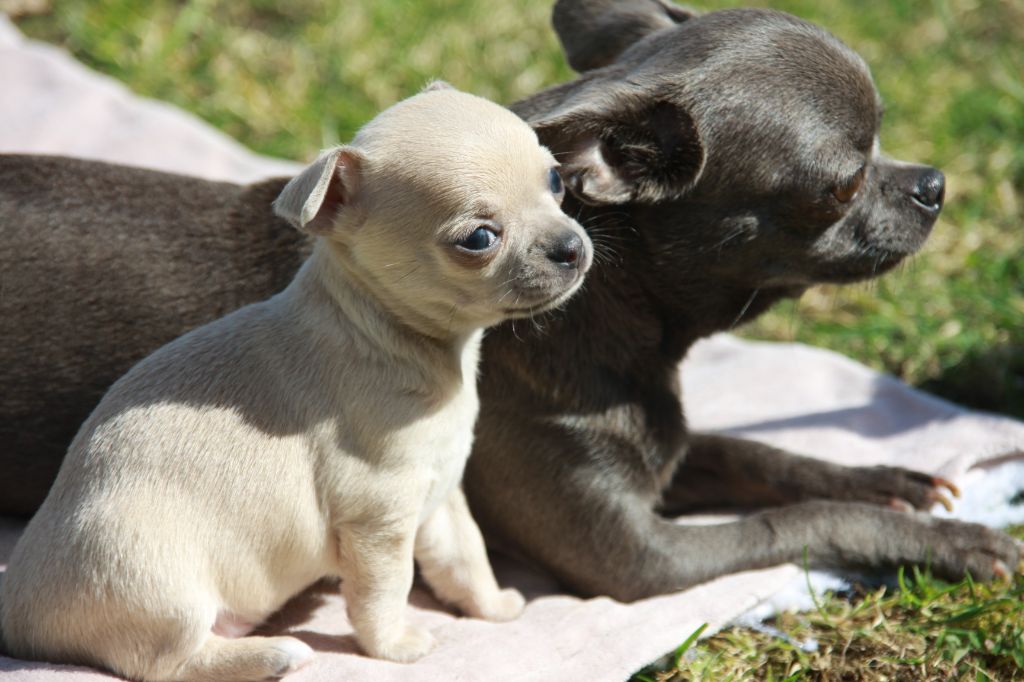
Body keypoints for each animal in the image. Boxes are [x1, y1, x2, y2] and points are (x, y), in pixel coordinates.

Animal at [0, 0, 1015, 593]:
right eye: (841, 187)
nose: (935, 185)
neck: (618, 325)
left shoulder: (661, 448)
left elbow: (764, 457)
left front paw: (887, 481)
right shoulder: (636, 557)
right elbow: (790, 521)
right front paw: (954, 544)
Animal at [0, 86, 593, 679]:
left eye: (556, 181)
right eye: (479, 239)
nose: (572, 247)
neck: (392, 332)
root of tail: (17, 616)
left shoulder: (440, 491)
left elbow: (465, 555)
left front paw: (494, 606)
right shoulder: (377, 519)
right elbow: (386, 590)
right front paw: (394, 645)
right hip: (155, 582)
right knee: (167, 661)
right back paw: (275, 653)